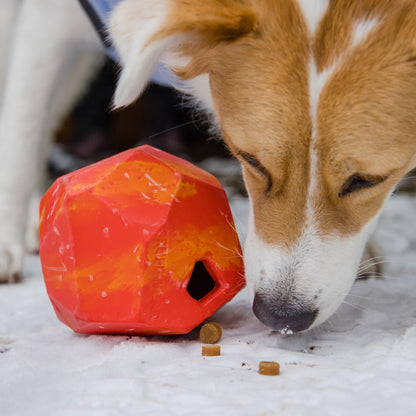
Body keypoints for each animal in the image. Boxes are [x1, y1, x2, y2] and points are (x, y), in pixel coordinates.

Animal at [0, 0, 416, 332]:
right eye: (251, 161)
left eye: (366, 181)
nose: (280, 316)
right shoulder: (49, 22)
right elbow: (20, 130)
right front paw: (6, 238)